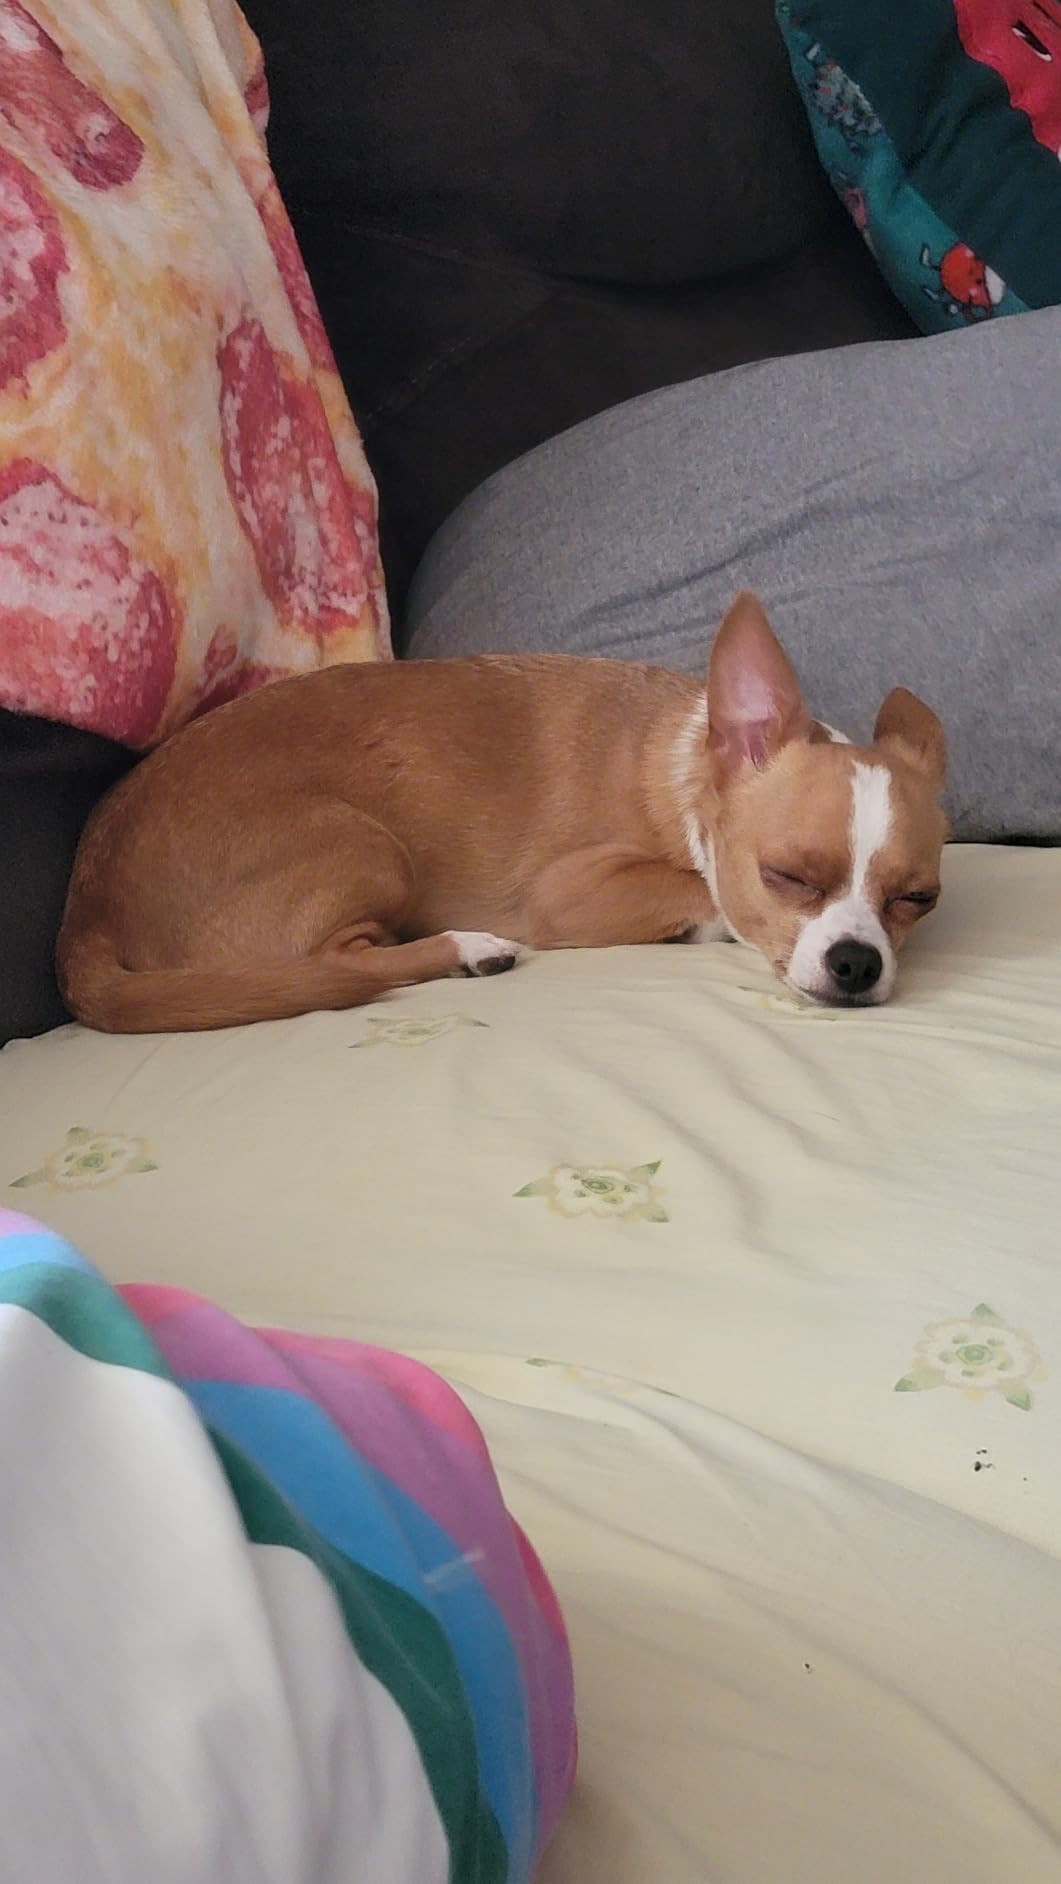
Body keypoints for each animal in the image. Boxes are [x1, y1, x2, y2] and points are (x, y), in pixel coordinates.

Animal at [57, 591, 947, 1032]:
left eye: (917, 899)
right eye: (785, 876)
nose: (857, 965)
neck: (690, 766)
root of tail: (86, 913)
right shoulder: (570, 892)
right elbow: (698, 892)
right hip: (369, 848)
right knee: (344, 966)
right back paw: (466, 948)